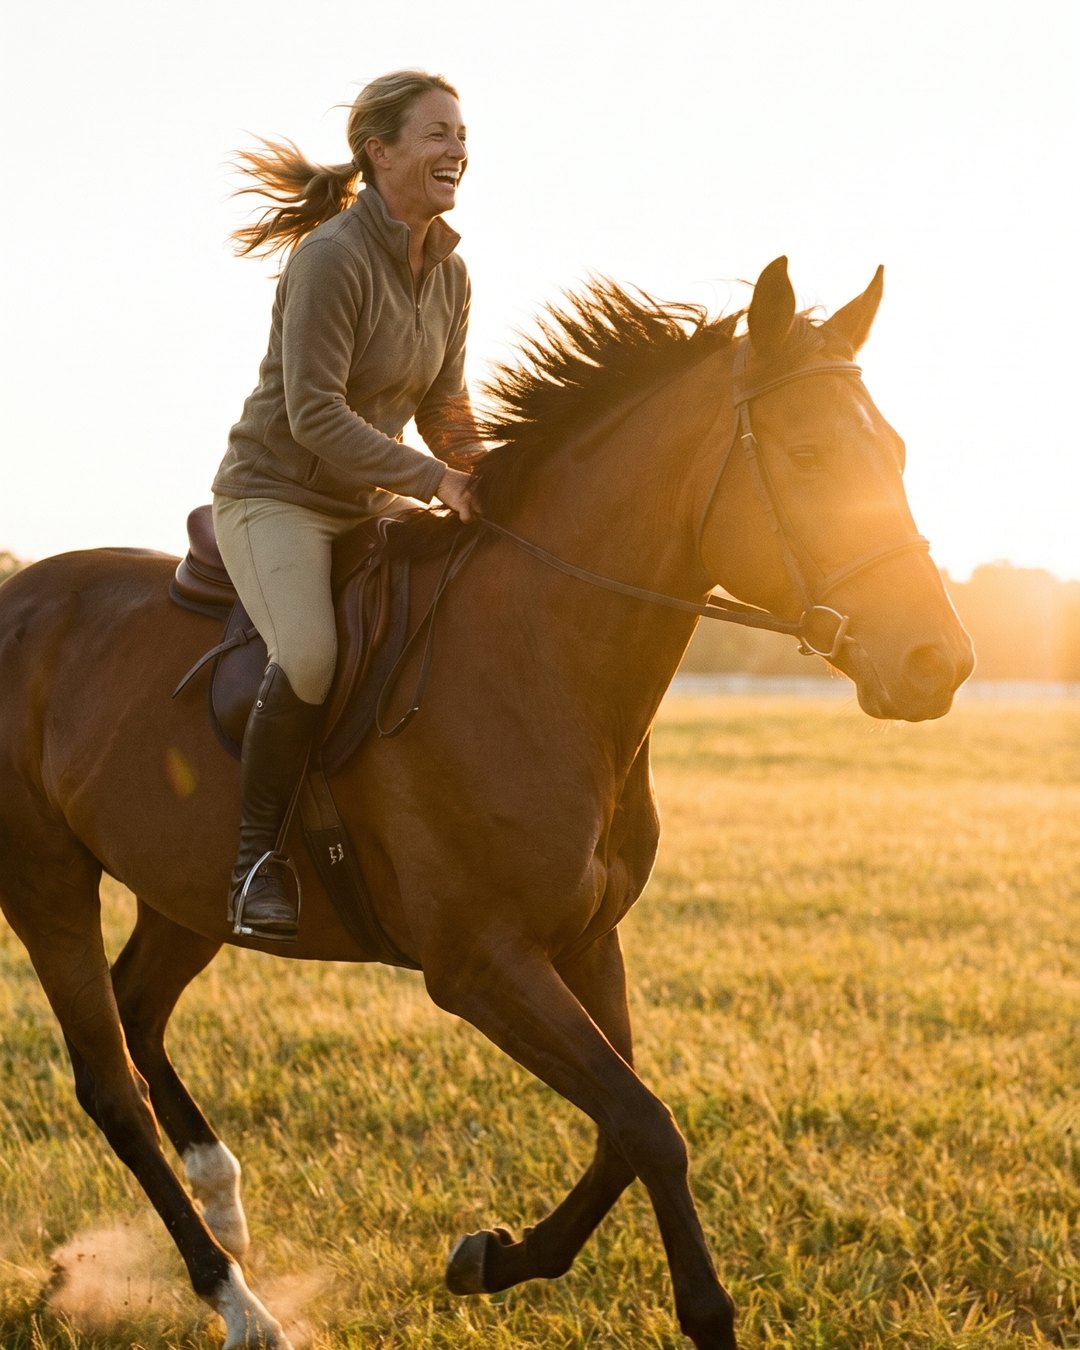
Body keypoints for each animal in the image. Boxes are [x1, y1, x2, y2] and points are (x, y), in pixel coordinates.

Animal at [0, 257, 973, 1349]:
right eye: (808, 455)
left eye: (895, 454)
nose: (937, 663)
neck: (538, 655)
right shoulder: (481, 965)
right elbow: (649, 1125)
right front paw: (698, 1309)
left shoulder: (586, 941)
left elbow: (622, 1125)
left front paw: (492, 1259)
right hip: (44, 880)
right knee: (109, 1080)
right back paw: (236, 1300)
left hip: (189, 892)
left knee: (138, 1012)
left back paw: (224, 1199)